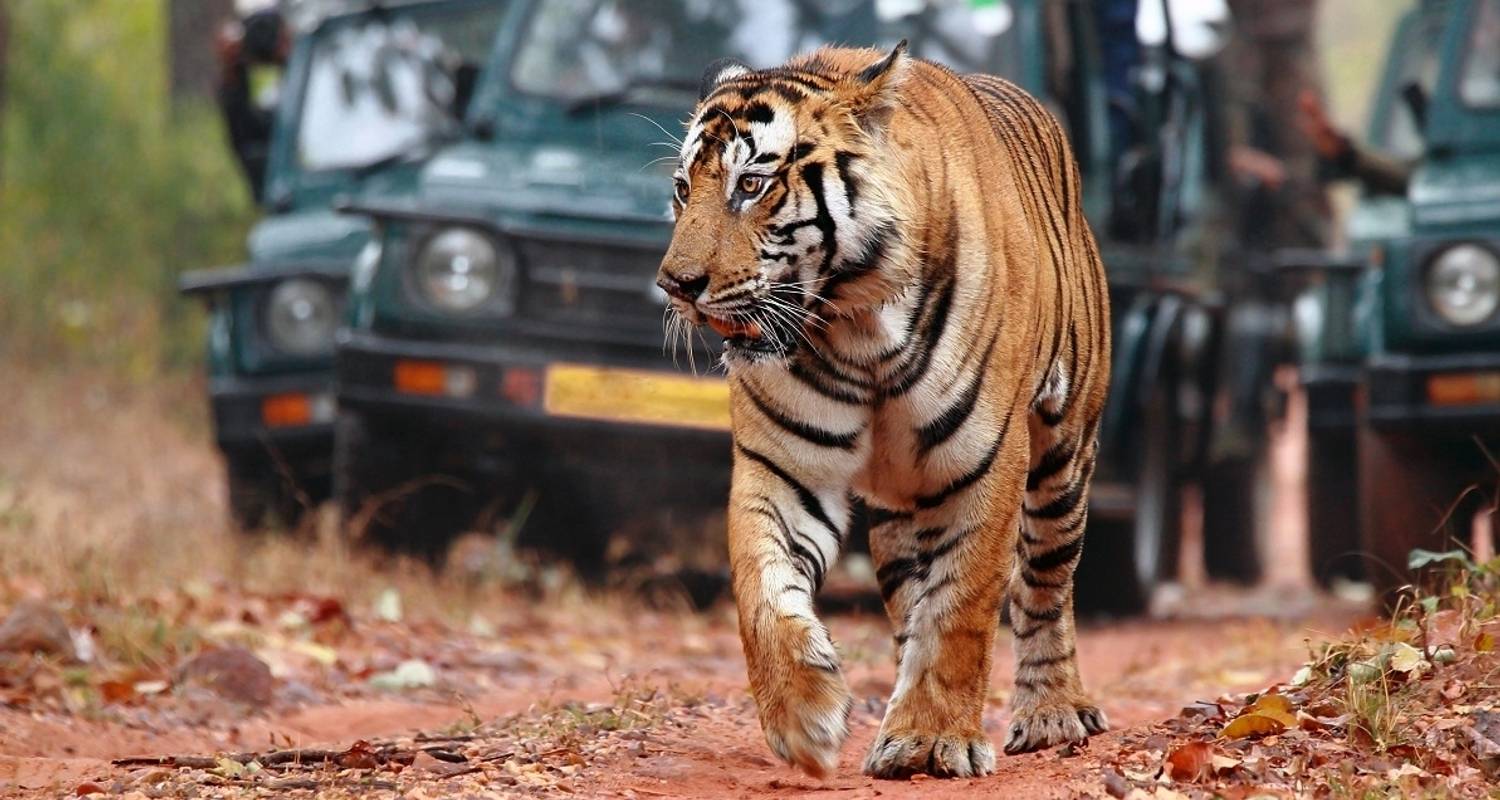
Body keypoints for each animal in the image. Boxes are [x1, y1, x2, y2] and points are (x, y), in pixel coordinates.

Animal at [657, 40, 1116, 774]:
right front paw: (805, 718)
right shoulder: (783, 467)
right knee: (910, 600)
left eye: (751, 186)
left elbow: (963, 604)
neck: (854, 327)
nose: (675, 285)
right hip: (903, 509)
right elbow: (761, 590)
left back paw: (1053, 713)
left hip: (1063, 455)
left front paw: (932, 738)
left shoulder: (986, 462)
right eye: (682, 188)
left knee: (1045, 584)